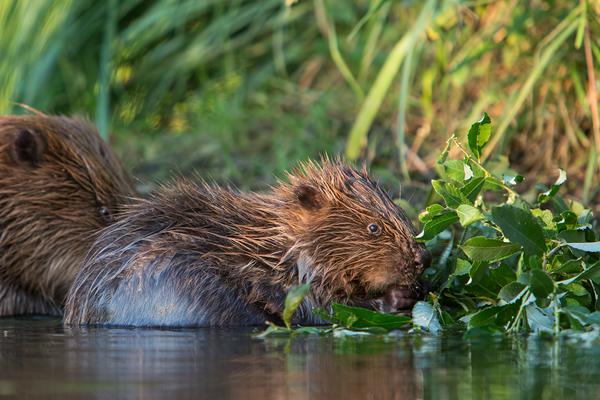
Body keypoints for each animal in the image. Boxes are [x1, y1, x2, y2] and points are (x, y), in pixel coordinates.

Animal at [63, 158, 432, 326]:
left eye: (400, 211)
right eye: (373, 227)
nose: (422, 258)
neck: (273, 249)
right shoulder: (295, 279)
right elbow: (320, 308)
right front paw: (398, 297)